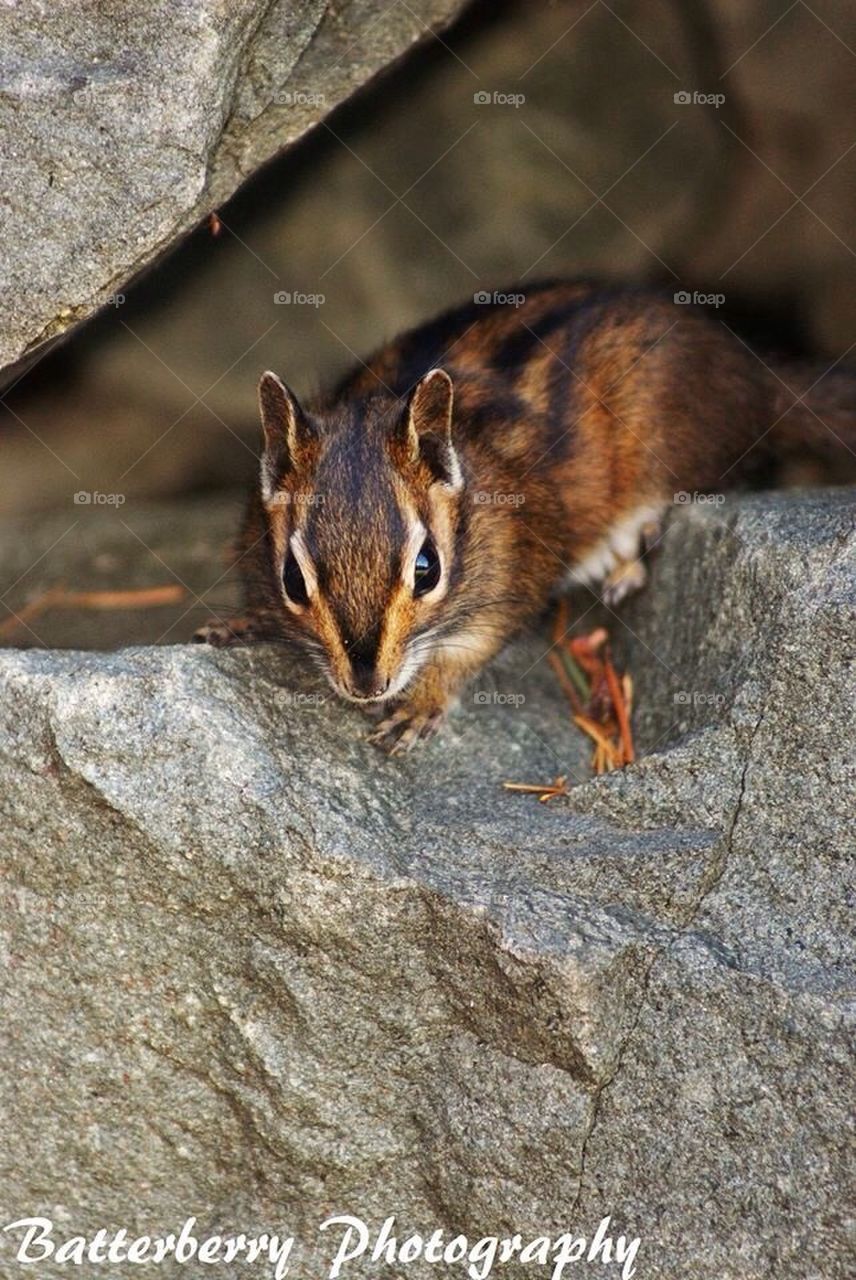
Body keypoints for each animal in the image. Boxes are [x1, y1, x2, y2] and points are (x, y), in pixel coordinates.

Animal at [194, 279, 856, 752]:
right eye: (291, 580)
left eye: (428, 570)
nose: (366, 686)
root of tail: (754, 374)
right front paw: (242, 622)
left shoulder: (511, 576)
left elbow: (473, 647)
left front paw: (421, 703)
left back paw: (625, 565)